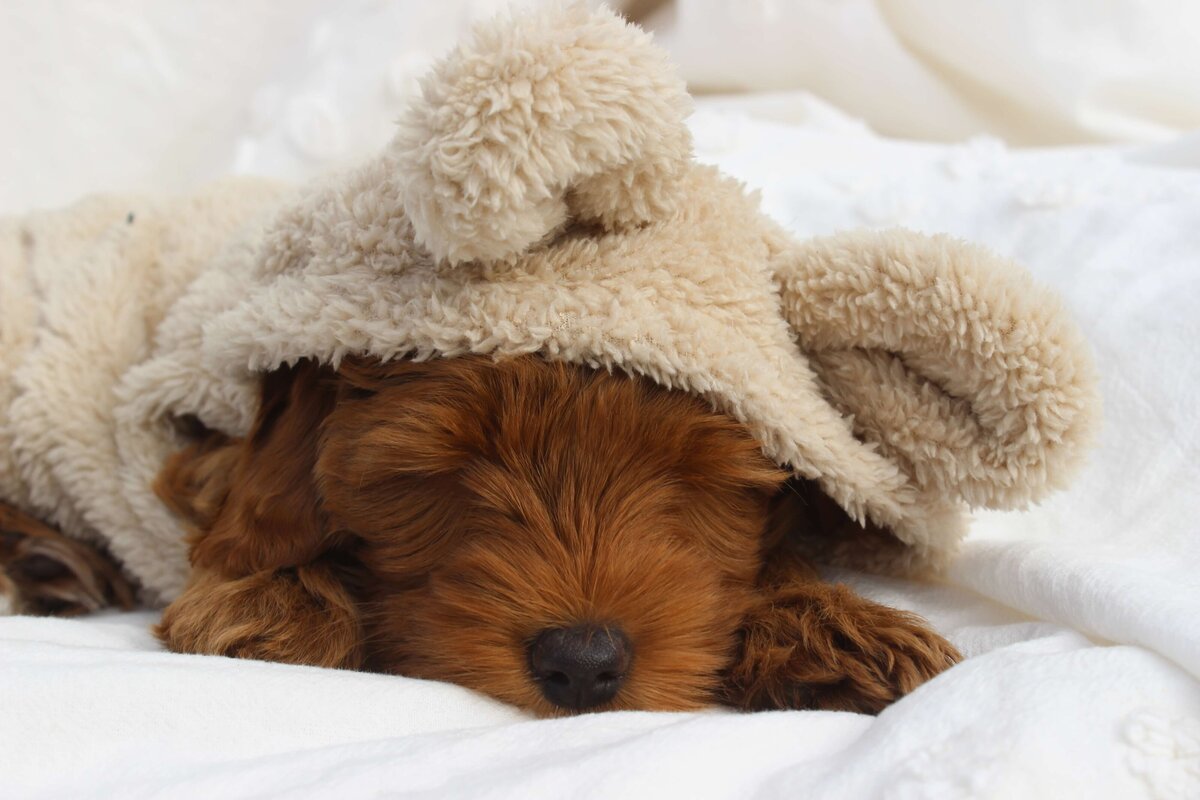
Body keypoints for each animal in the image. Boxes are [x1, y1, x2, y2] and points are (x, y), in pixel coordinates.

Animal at [140, 352, 960, 714]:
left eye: (692, 473)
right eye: (445, 469)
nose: (583, 663)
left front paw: (829, 627)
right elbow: (247, 515)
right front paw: (271, 597)